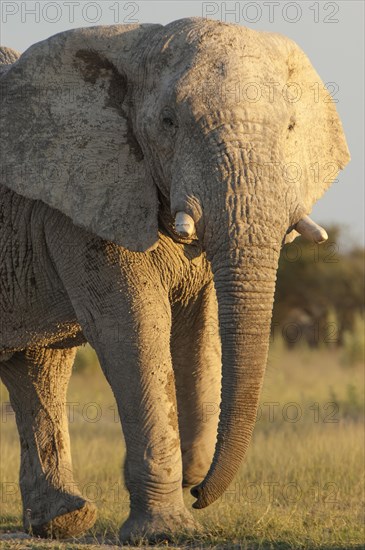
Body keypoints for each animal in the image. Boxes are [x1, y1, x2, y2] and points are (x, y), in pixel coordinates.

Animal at [0, 16, 348, 544]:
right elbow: (135, 328)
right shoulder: (87, 202)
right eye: (168, 123)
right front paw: (166, 532)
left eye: (290, 128)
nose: (200, 492)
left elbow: (200, 325)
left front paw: (193, 473)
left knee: (38, 366)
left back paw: (63, 521)